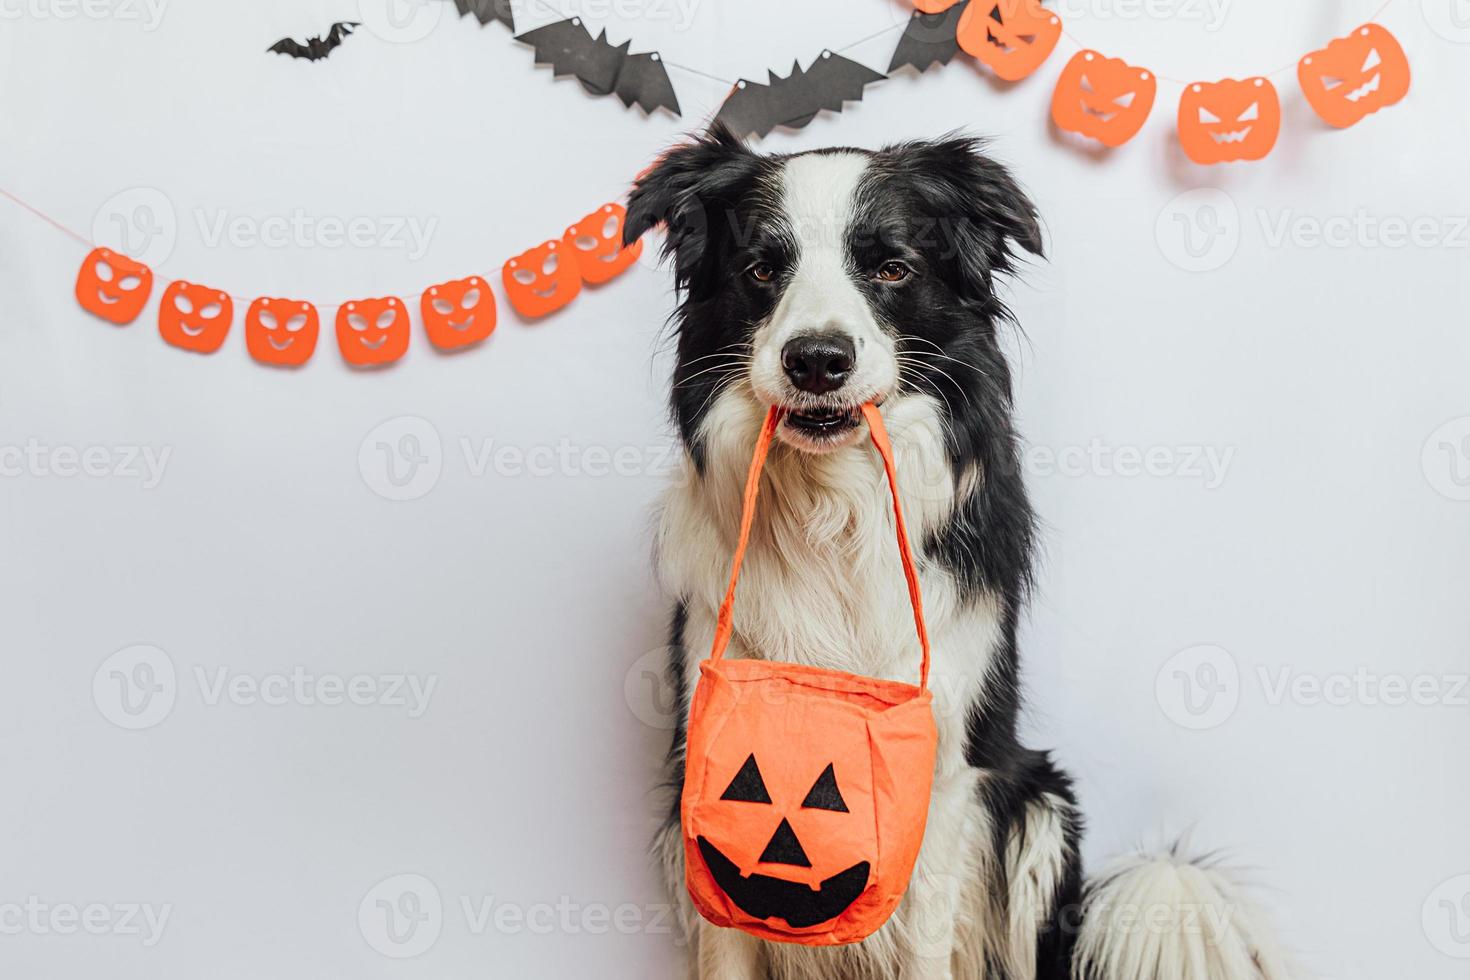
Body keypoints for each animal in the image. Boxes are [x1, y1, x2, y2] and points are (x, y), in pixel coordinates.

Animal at [626, 124, 1293, 980]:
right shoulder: (708, 773)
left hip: (1041, 808)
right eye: (762, 269)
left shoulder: (946, 776)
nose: (817, 360)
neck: (833, 509)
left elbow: (924, 939)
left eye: (892, 267)